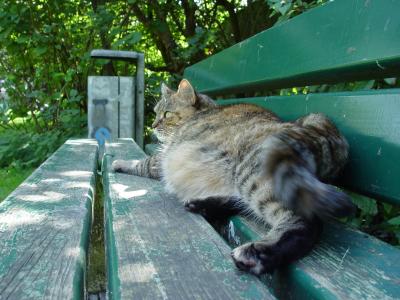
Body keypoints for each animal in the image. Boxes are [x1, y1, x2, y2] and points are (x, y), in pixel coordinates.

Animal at [111, 79, 354, 274]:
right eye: (155, 112)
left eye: (166, 114)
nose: (153, 125)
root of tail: (321, 135)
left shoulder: (161, 159)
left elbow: (142, 163)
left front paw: (120, 162)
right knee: (238, 202)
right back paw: (203, 204)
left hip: (254, 176)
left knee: (306, 224)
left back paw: (257, 253)